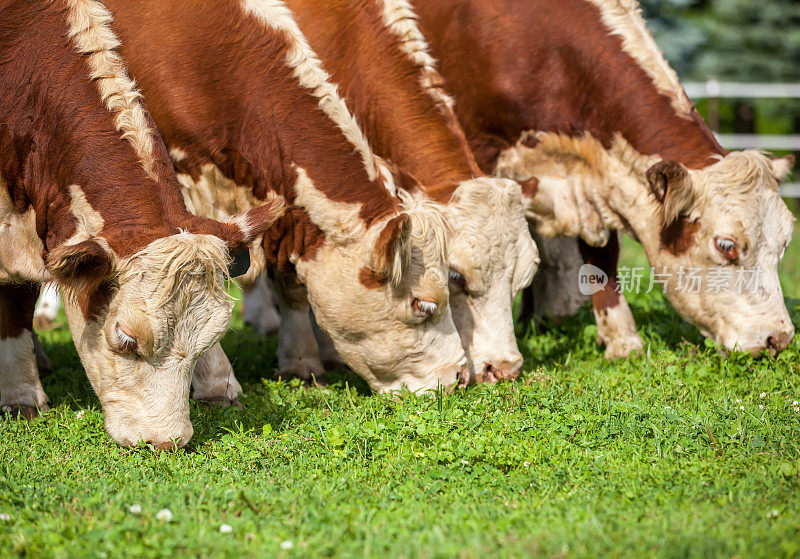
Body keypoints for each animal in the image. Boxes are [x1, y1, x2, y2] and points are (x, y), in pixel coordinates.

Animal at [416, 0, 796, 358]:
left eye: (785, 243)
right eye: (726, 245)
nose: (778, 338)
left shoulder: (594, 179)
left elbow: (600, 255)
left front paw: (621, 340)